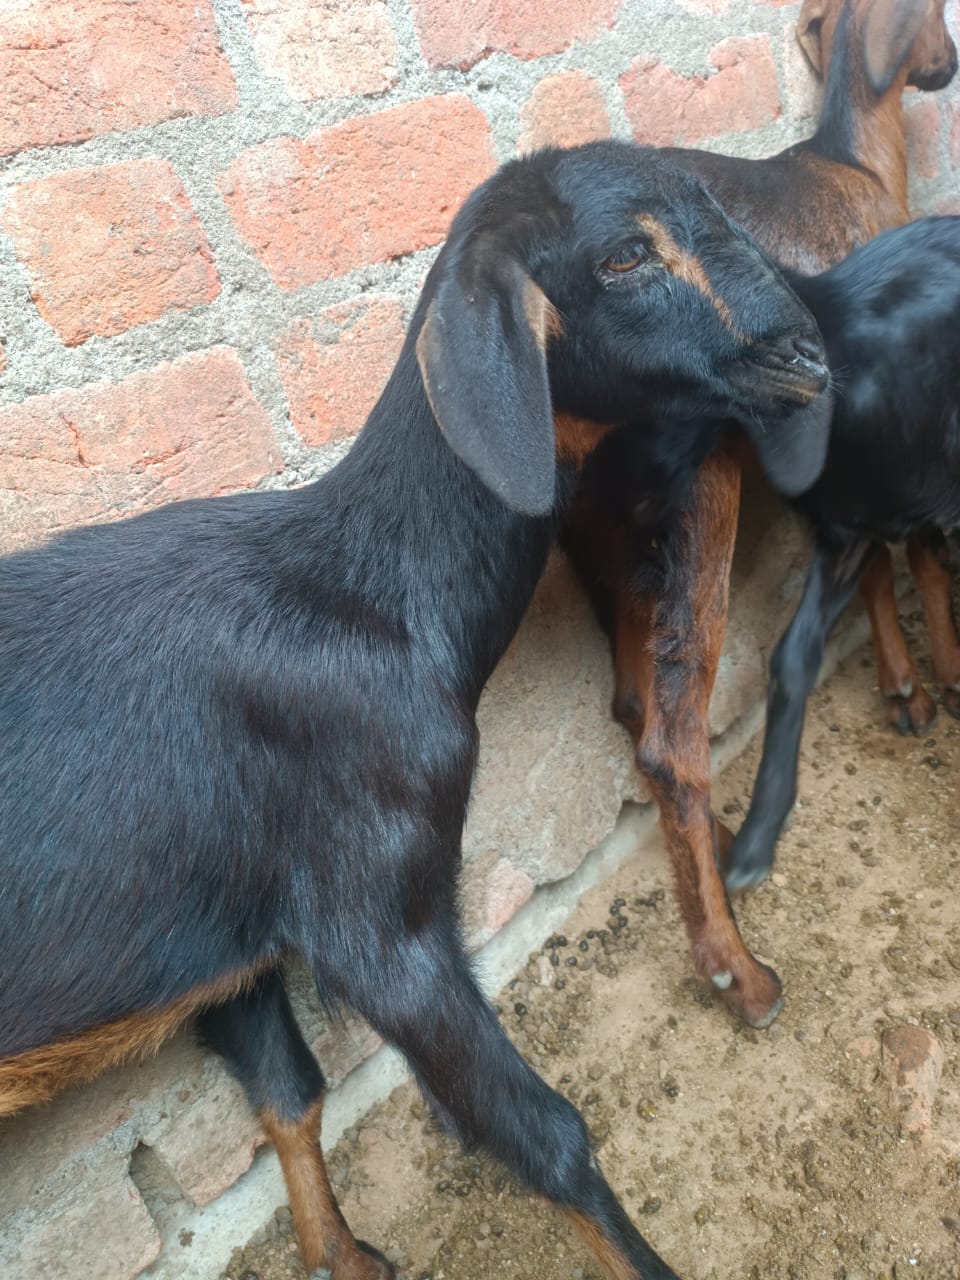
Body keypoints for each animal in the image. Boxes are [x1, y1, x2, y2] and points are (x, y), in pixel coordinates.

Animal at [0, 142, 831, 1280]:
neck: (379, 591)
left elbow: (290, 1095)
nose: (810, 357)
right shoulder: (375, 909)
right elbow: (546, 1135)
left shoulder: (231, 937)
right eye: (622, 257)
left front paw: (344, 1260)